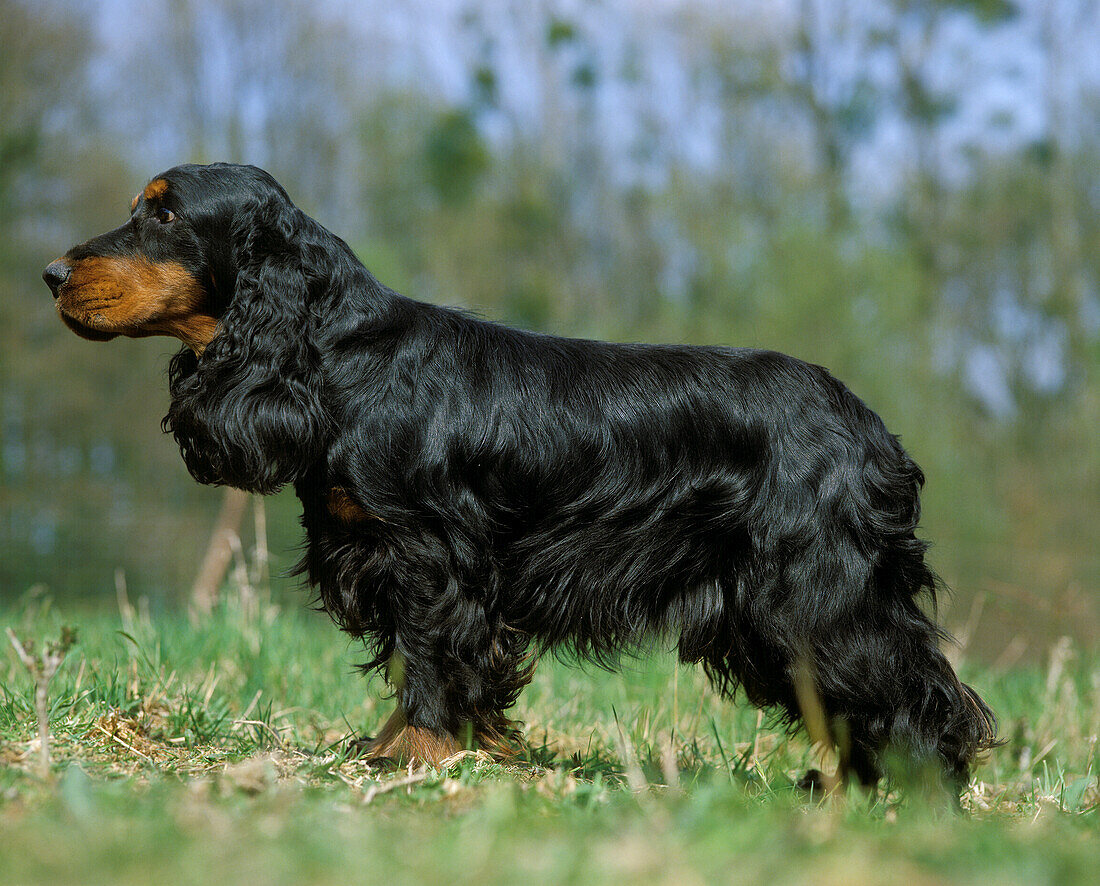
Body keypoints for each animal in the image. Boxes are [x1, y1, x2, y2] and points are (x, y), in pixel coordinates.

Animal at [45, 162, 998, 792]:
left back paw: (914, 787)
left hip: (815, 595)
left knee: (920, 686)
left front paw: (417, 761)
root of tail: (872, 430)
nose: (50, 273)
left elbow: (432, 662)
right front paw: (400, 751)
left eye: (165, 216)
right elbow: (421, 665)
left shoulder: (435, 557)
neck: (336, 358)